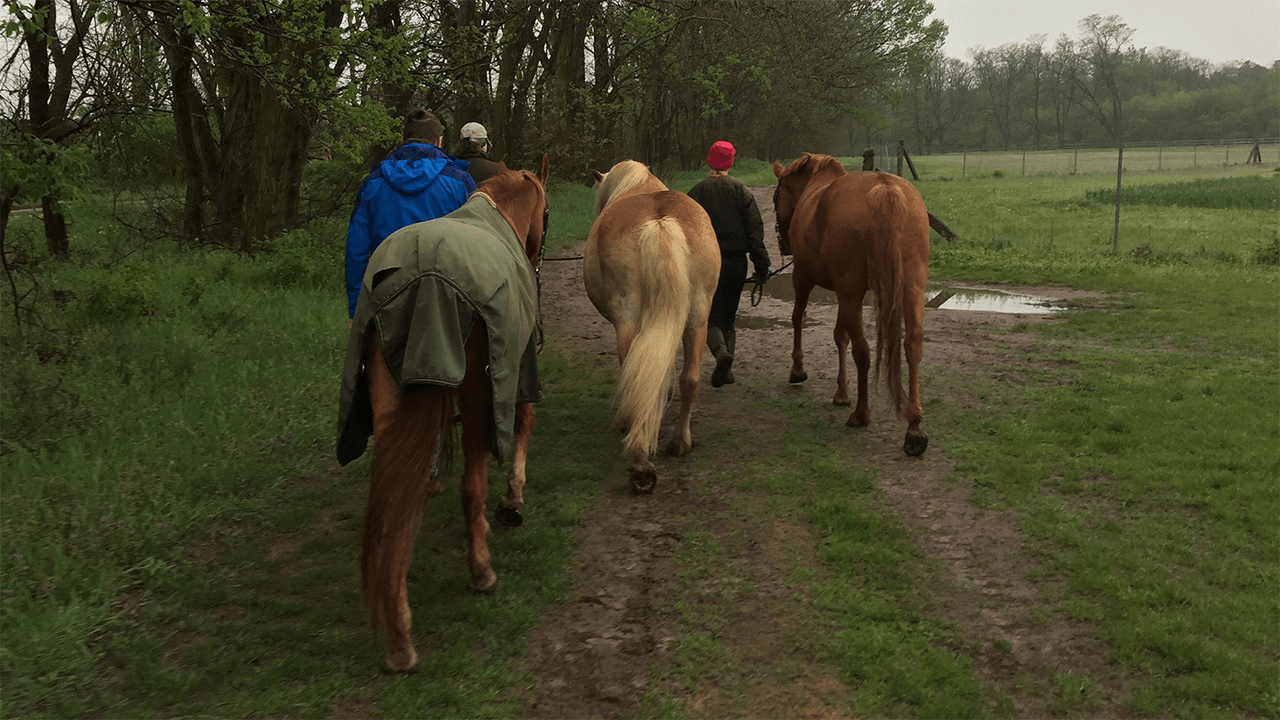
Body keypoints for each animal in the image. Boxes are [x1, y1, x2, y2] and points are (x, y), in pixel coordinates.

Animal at [335, 154, 550, 671]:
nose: (537, 260)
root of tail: (422, 277)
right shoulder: (516, 371)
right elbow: (523, 423)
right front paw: (512, 499)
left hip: (391, 399)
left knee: (398, 500)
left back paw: (398, 632)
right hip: (475, 395)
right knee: (470, 486)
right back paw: (481, 572)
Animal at [583, 158, 716, 489]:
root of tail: (660, 221)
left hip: (628, 318)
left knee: (634, 372)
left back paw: (640, 460)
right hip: (697, 318)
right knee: (689, 378)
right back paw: (680, 443)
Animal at [768, 151, 931, 453]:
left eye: (775, 197)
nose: (783, 244)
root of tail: (886, 189)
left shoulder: (803, 279)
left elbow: (799, 318)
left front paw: (798, 370)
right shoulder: (843, 294)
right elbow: (839, 335)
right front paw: (841, 392)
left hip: (850, 291)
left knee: (863, 350)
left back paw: (861, 413)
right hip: (912, 287)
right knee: (912, 345)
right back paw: (914, 427)